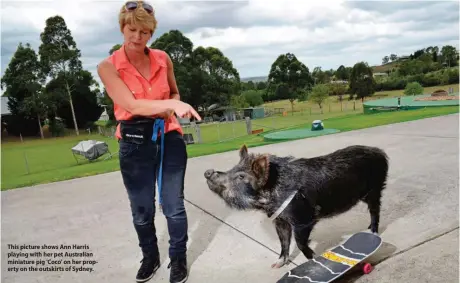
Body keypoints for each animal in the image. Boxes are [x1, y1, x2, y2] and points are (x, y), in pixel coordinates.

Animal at [205, 145, 388, 270]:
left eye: (241, 176)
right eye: (231, 169)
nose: (208, 172)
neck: (268, 200)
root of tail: (380, 152)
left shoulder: (303, 219)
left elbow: (299, 242)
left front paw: (315, 258)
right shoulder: (280, 219)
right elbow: (284, 241)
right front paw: (276, 265)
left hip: (374, 189)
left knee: (375, 210)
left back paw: (372, 232)